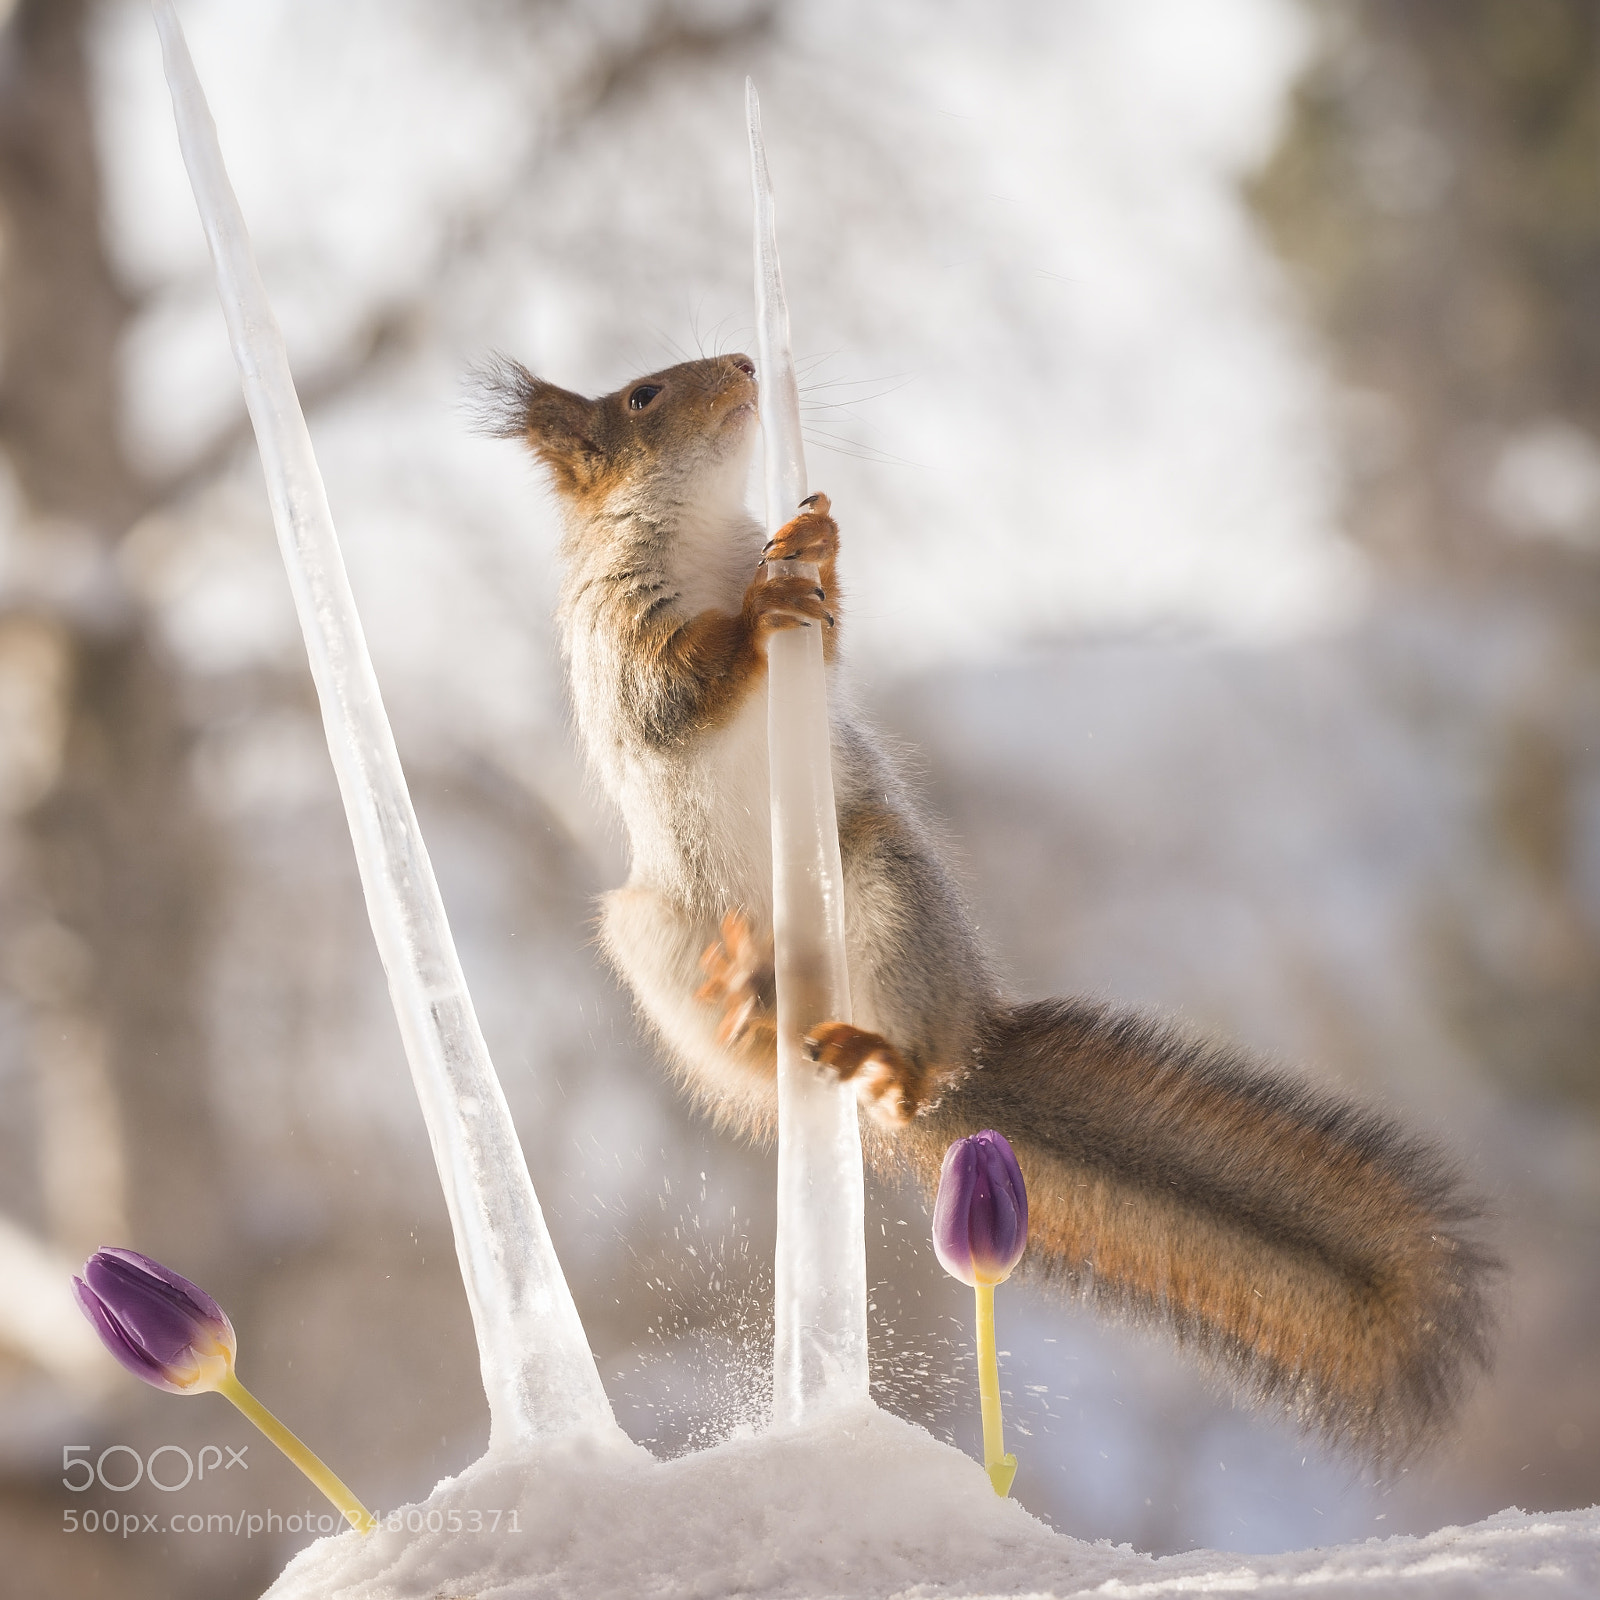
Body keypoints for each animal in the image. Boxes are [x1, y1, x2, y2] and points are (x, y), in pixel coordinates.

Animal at [480, 349, 1496, 1461]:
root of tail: (960, 1050)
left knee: (911, 1062)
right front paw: (751, 614)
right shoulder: (618, 636)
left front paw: (819, 545)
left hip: (880, 884)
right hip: (651, 933)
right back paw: (746, 996)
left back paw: (875, 1055)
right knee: (751, 1048)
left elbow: (820, 639)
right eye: (643, 397)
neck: (701, 528)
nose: (746, 363)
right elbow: (671, 690)